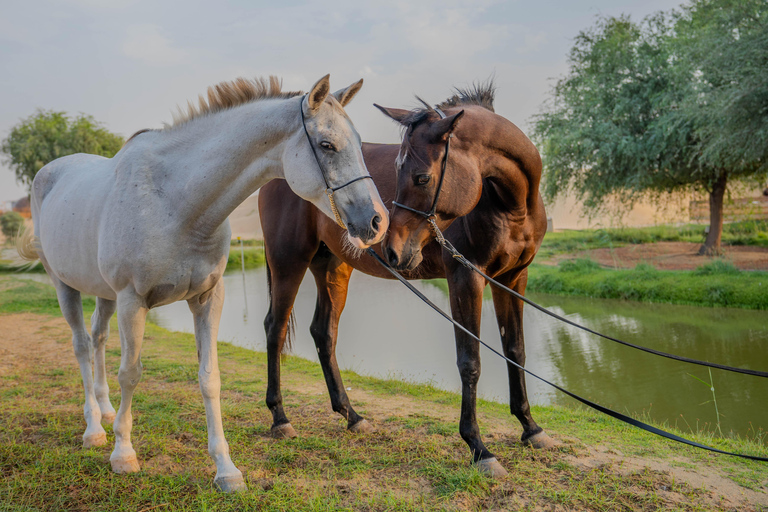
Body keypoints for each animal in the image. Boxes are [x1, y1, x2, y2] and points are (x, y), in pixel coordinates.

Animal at [18, 74, 390, 490]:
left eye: (358, 143)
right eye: (327, 145)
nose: (377, 222)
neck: (176, 203)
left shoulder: (208, 298)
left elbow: (209, 379)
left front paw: (226, 470)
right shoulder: (133, 302)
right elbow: (131, 373)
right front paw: (123, 453)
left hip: (104, 295)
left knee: (98, 339)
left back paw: (105, 410)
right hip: (65, 286)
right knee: (82, 347)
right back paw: (94, 429)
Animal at [258, 82, 552, 478]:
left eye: (421, 177)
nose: (393, 249)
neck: (509, 204)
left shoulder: (513, 278)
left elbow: (515, 350)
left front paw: (530, 427)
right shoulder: (466, 278)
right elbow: (470, 361)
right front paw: (479, 448)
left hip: (332, 267)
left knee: (323, 333)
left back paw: (351, 416)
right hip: (289, 262)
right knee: (275, 329)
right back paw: (280, 418)